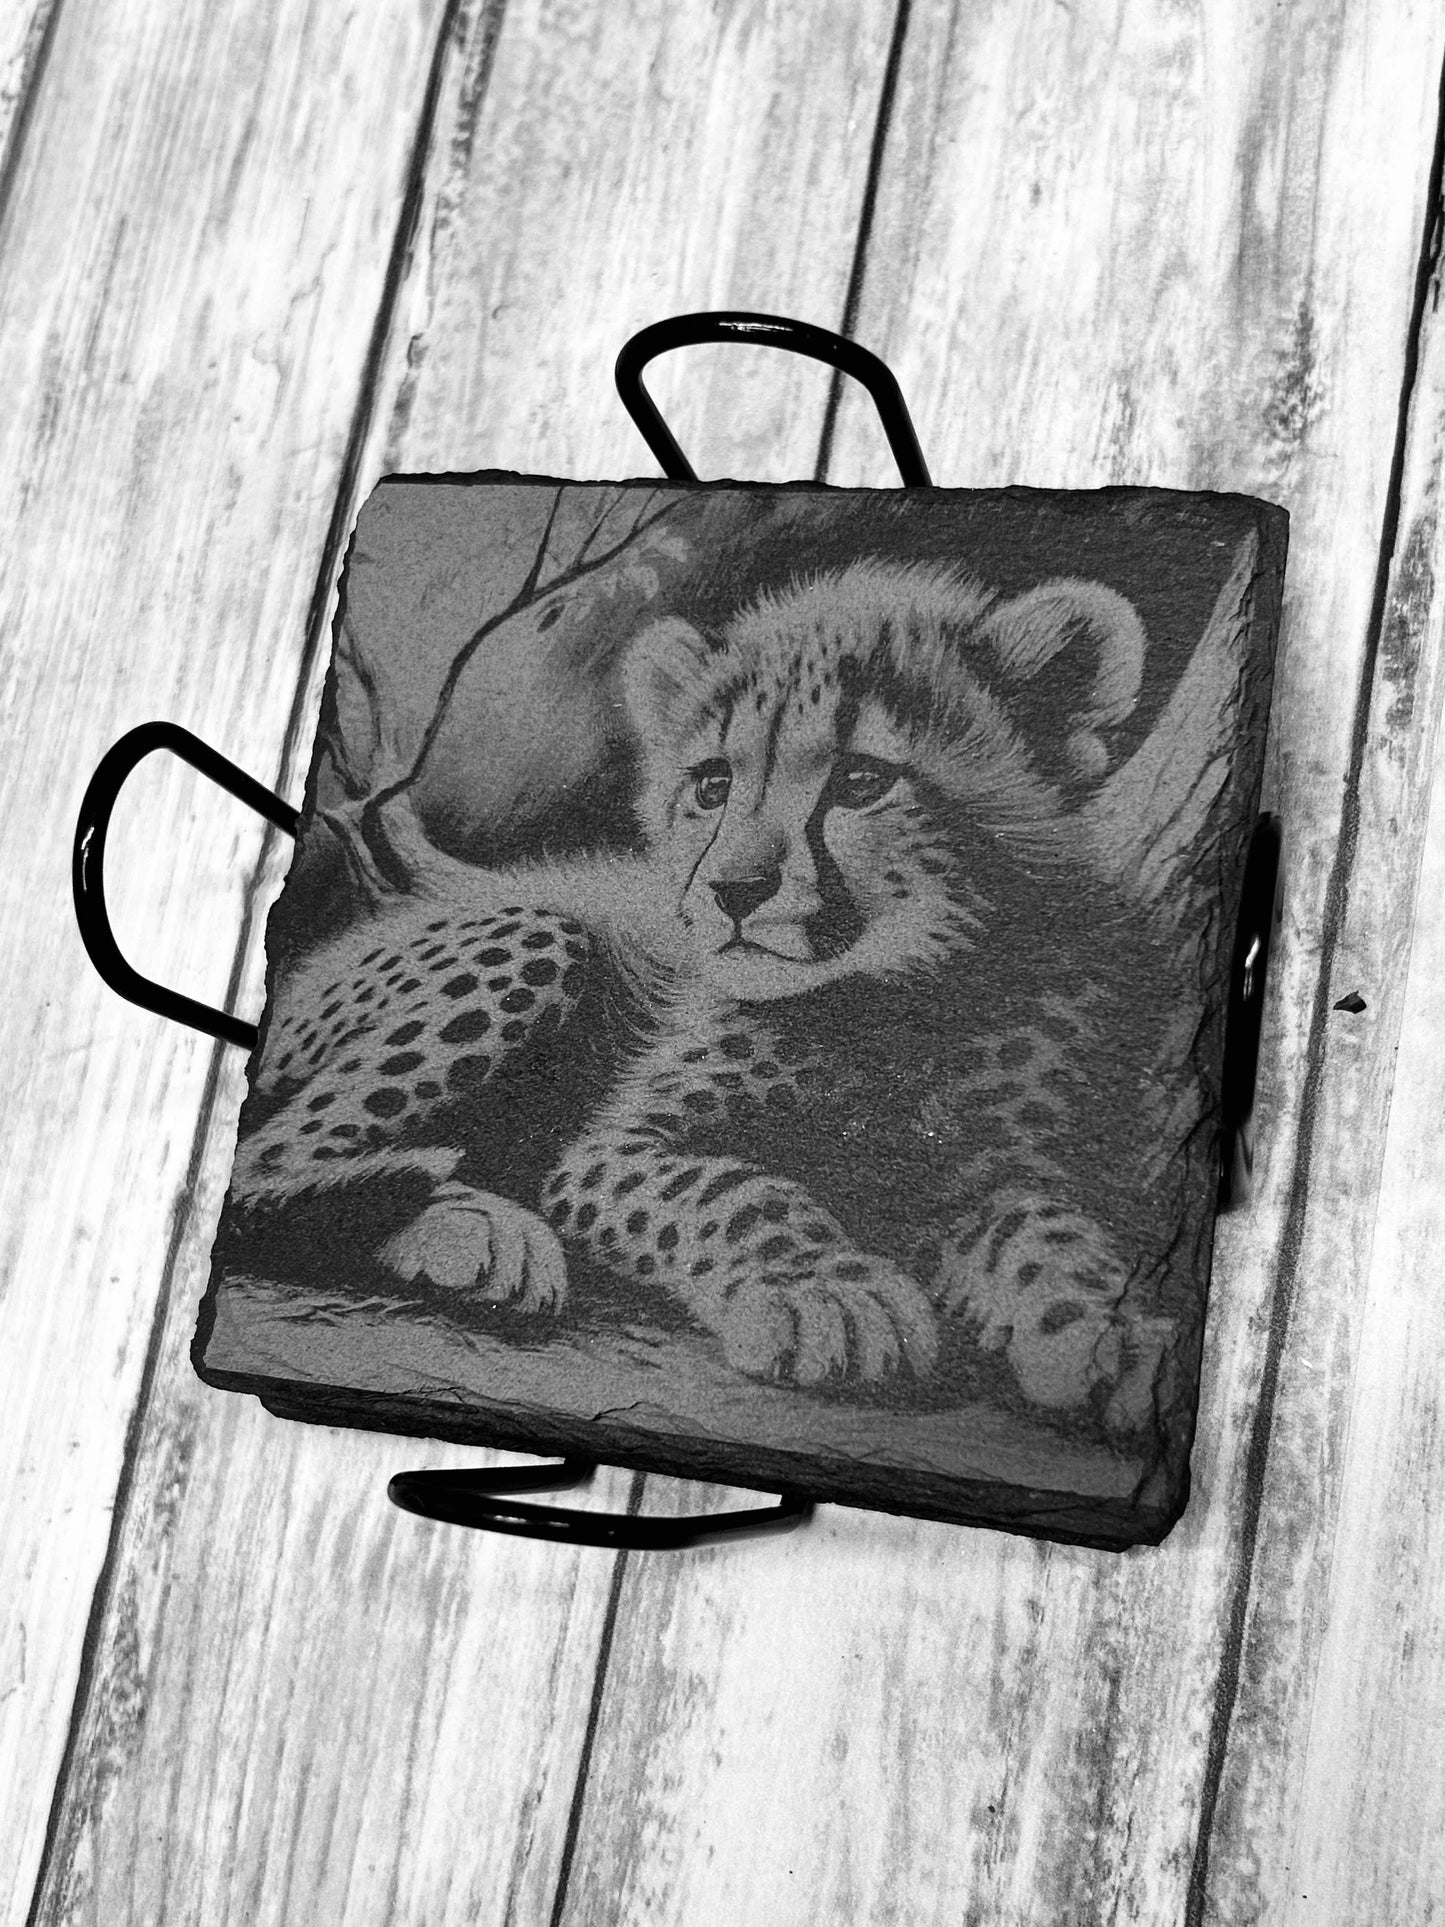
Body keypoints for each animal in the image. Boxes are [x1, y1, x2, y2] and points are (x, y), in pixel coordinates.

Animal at [223, 558, 1179, 1434]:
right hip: (535, 932)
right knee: (267, 1162)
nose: (734, 890)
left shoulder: (995, 1162)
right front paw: (823, 1289)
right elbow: (737, 1188)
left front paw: (1104, 1325)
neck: (888, 1004)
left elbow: (1046, 1227)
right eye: (712, 786)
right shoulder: (615, 1147)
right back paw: (467, 1223)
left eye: (861, 782)